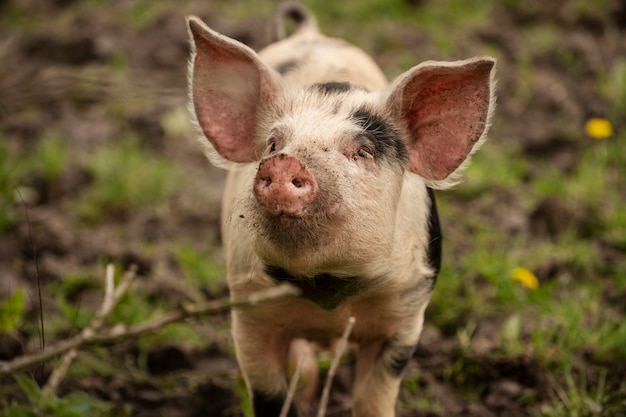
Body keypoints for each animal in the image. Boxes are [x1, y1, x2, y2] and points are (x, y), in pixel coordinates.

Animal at [183, 3, 494, 416]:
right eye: (272, 144)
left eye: (362, 150)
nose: (284, 162)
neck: (328, 291)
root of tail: (310, 33)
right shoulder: (248, 313)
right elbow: (269, 394)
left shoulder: (406, 315)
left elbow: (374, 398)